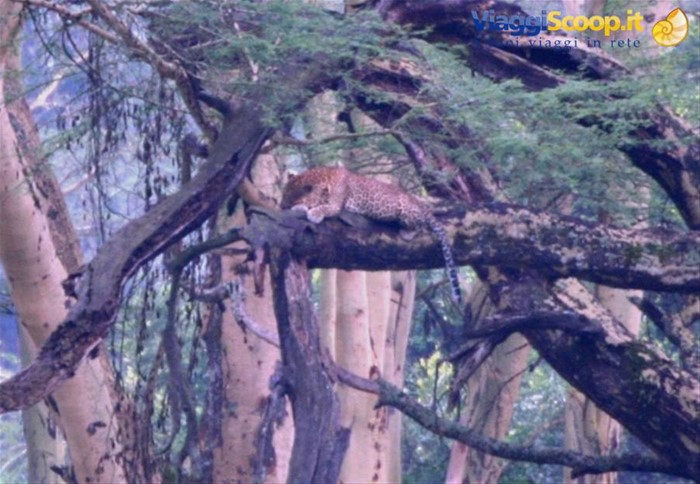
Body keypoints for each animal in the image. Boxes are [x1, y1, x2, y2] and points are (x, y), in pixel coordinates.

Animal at [281, 166, 462, 304]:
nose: (282, 206)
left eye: (289, 197)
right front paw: (301, 208)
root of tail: (423, 206)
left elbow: (322, 207)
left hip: (405, 209)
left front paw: (313, 213)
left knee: (421, 225)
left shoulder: (335, 205)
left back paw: (407, 233)